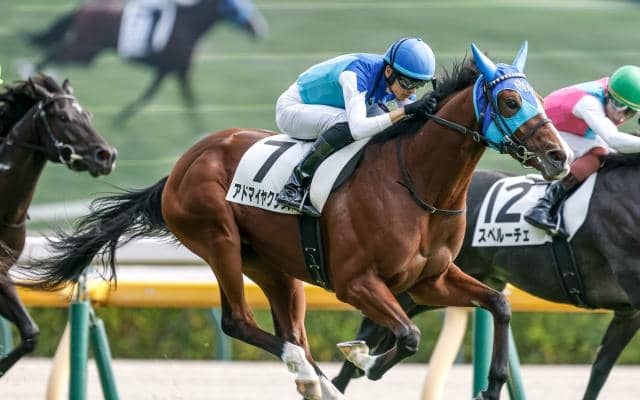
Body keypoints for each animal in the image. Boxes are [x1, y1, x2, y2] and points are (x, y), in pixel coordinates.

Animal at [17, 43, 570, 400]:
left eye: (538, 98)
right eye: (510, 100)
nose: (559, 156)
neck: (418, 187)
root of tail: (179, 167)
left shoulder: (430, 278)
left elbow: (498, 303)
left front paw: (493, 383)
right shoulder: (356, 283)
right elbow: (409, 335)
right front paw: (361, 359)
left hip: (275, 267)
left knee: (290, 329)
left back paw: (314, 380)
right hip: (217, 239)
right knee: (239, 321)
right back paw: (308, 372)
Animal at [26, 0, 268, 124]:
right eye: (237, 6)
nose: (258, 29)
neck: (189, 23)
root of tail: (82, 8)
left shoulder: (169, 69)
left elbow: (152, 95)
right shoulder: (178, 69)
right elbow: (188, 99)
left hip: (89, 52)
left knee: (56, 53)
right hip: (85, 49)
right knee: (56, 53)